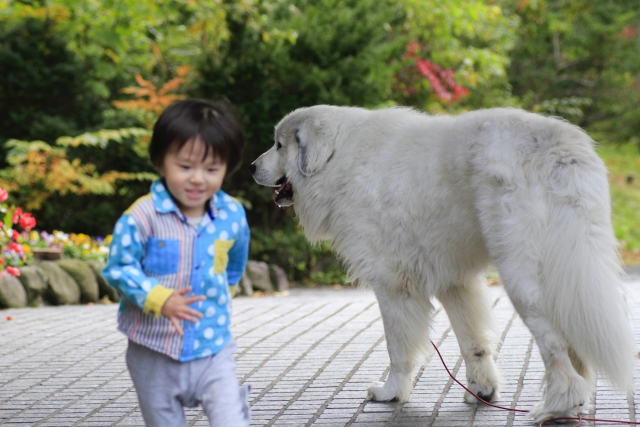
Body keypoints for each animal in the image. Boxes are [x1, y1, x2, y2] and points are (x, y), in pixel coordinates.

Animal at [250, 106, 636, 422]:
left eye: (279, 145)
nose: (252, 167)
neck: (336, 158)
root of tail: (559, 146)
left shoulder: (392, 285)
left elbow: (397, 349)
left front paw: (391, 393)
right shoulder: (455, 282)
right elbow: (473, 343)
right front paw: (482, 390)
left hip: (523, 278)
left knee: (556, 348)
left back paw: (557, 406)